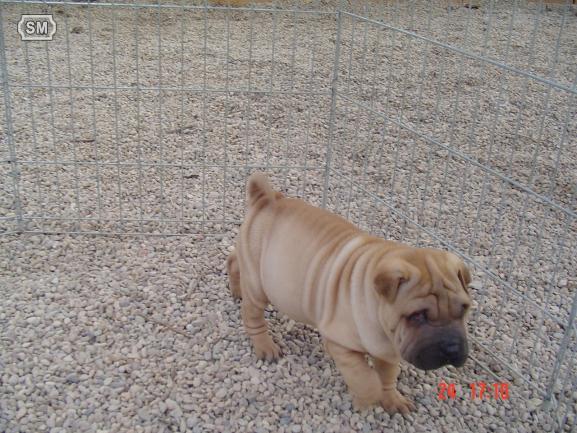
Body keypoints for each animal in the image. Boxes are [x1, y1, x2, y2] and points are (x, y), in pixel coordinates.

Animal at [226, 172, 472, 412]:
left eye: (463, 310)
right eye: (417, 316)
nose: (451, 347)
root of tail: (267, 198)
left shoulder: (389, 351)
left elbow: (387, 376)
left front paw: (393, 399)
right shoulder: (342, 345)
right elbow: (365, 378)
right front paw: (367, 399)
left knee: (233, 261)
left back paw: (237, 289)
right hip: (258, 284)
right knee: (253, 317)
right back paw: (265, 346)